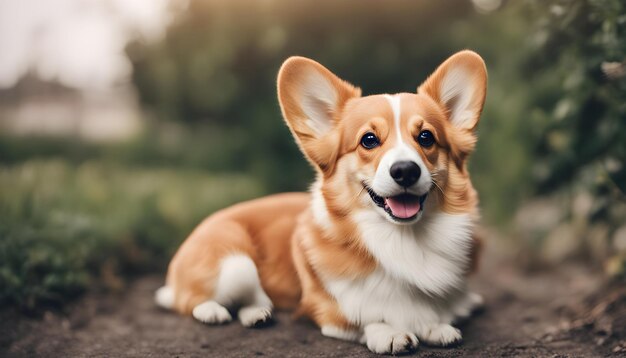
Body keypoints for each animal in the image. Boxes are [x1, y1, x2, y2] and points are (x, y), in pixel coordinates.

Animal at [154, 50, 486, 356]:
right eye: (368, 140)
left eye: (426, 137)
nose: (406, 170)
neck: (403, 241)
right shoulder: (324, 308)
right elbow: (366, 318)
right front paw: (389, 333)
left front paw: (436, 324)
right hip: (236, 264)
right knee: (190, 301)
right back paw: (214, 311)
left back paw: (258, 314)